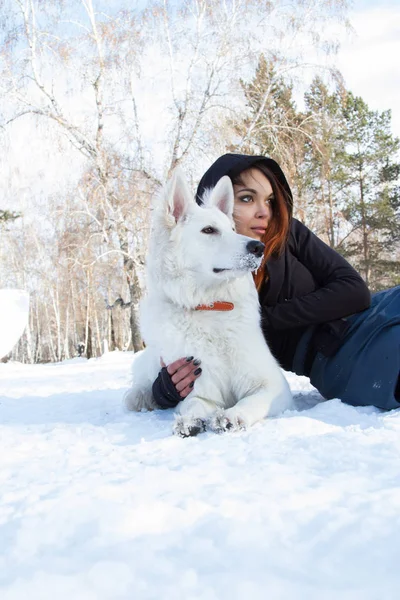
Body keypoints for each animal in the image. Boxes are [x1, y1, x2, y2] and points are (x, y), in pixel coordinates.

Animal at [125, 169, 294, 436]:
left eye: (233, 228)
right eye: (209, 230)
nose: (258, 247)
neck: (210, 305)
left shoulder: (273, 385)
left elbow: (252, 401)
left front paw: (233, 416)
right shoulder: (199, 385)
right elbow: (193, 404)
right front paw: (189, 420)